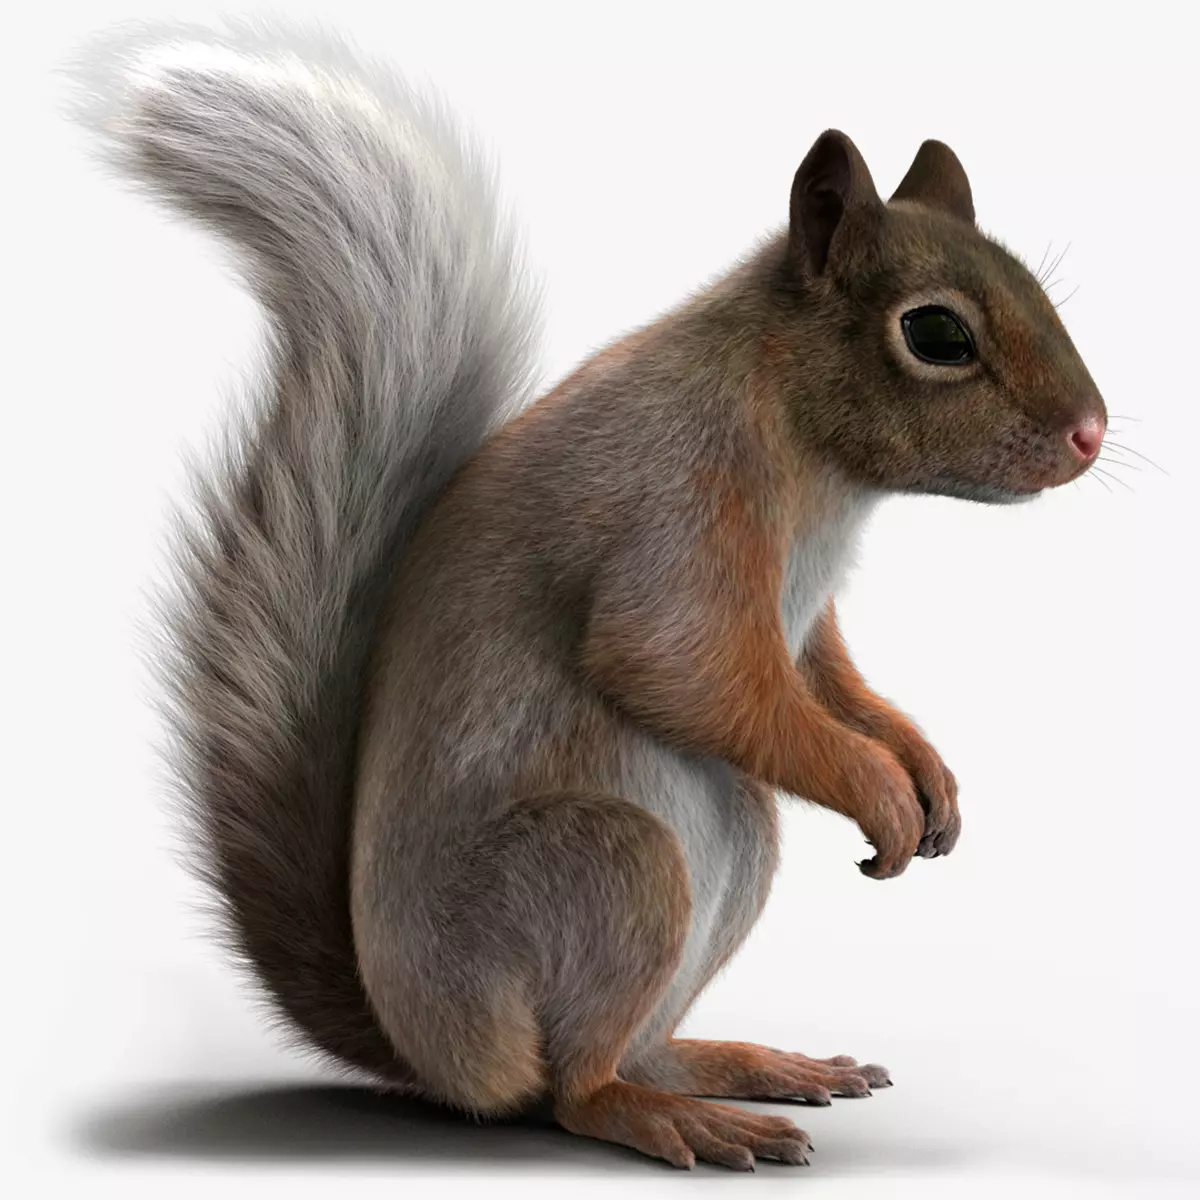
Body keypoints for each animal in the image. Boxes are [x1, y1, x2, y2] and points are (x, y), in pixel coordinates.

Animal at [68, 20, 1107, 1172]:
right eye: (936, 336)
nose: (1091, 434)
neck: (803, 441)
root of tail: (431, 1054)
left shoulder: (798, 624)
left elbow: (826, 677)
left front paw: (926, 770)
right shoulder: (677, 509)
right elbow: (676, 665)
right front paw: (879, 787)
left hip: (723, 860)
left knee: (625, 1048)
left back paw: (738, 1066)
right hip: (608, 865)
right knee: (570, 1091)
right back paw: (662, 1114)